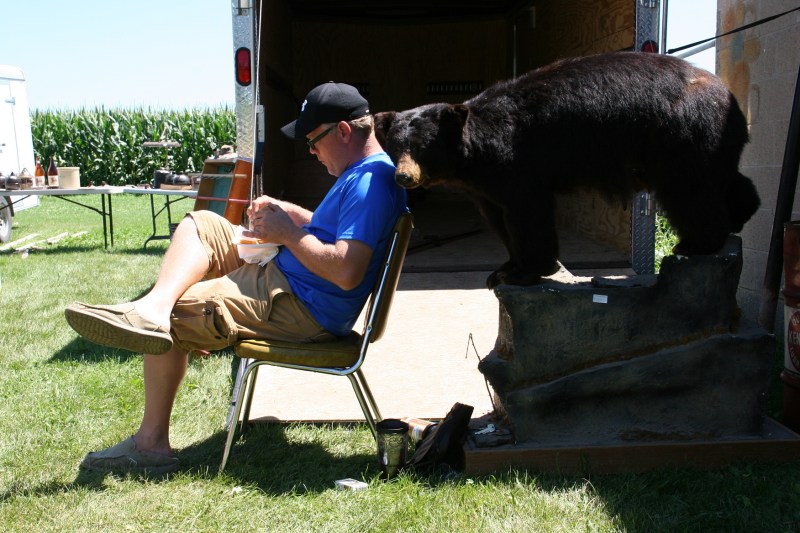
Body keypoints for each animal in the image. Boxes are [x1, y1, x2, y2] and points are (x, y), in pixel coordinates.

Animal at [374, 52, 760, 288]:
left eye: (422, 147)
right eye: (395, 148)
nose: (404, 177)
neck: (475, 155)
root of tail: (729, 95)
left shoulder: (515, 163)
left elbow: (527, 212)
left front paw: (527, 271)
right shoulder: (484, 187)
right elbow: (498, 216)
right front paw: (504, 268)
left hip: (679, 134)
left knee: (689, 190)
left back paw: (696, 243)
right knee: (720, 178)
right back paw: (742, 212)